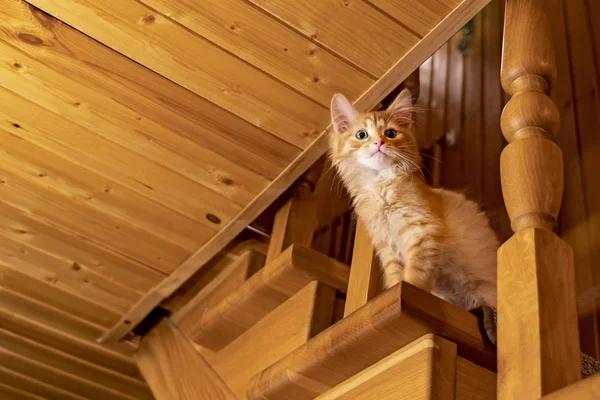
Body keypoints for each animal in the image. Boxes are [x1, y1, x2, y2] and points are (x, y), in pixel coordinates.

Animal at [328, 90, 496, 310]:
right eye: (361, 135)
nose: (379, 143)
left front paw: (410, 290)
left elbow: (415, 273)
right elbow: (395, 277)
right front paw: (393, 294)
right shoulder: (386, 245)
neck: (381, 186)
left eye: (390, 133)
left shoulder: (422, 229)